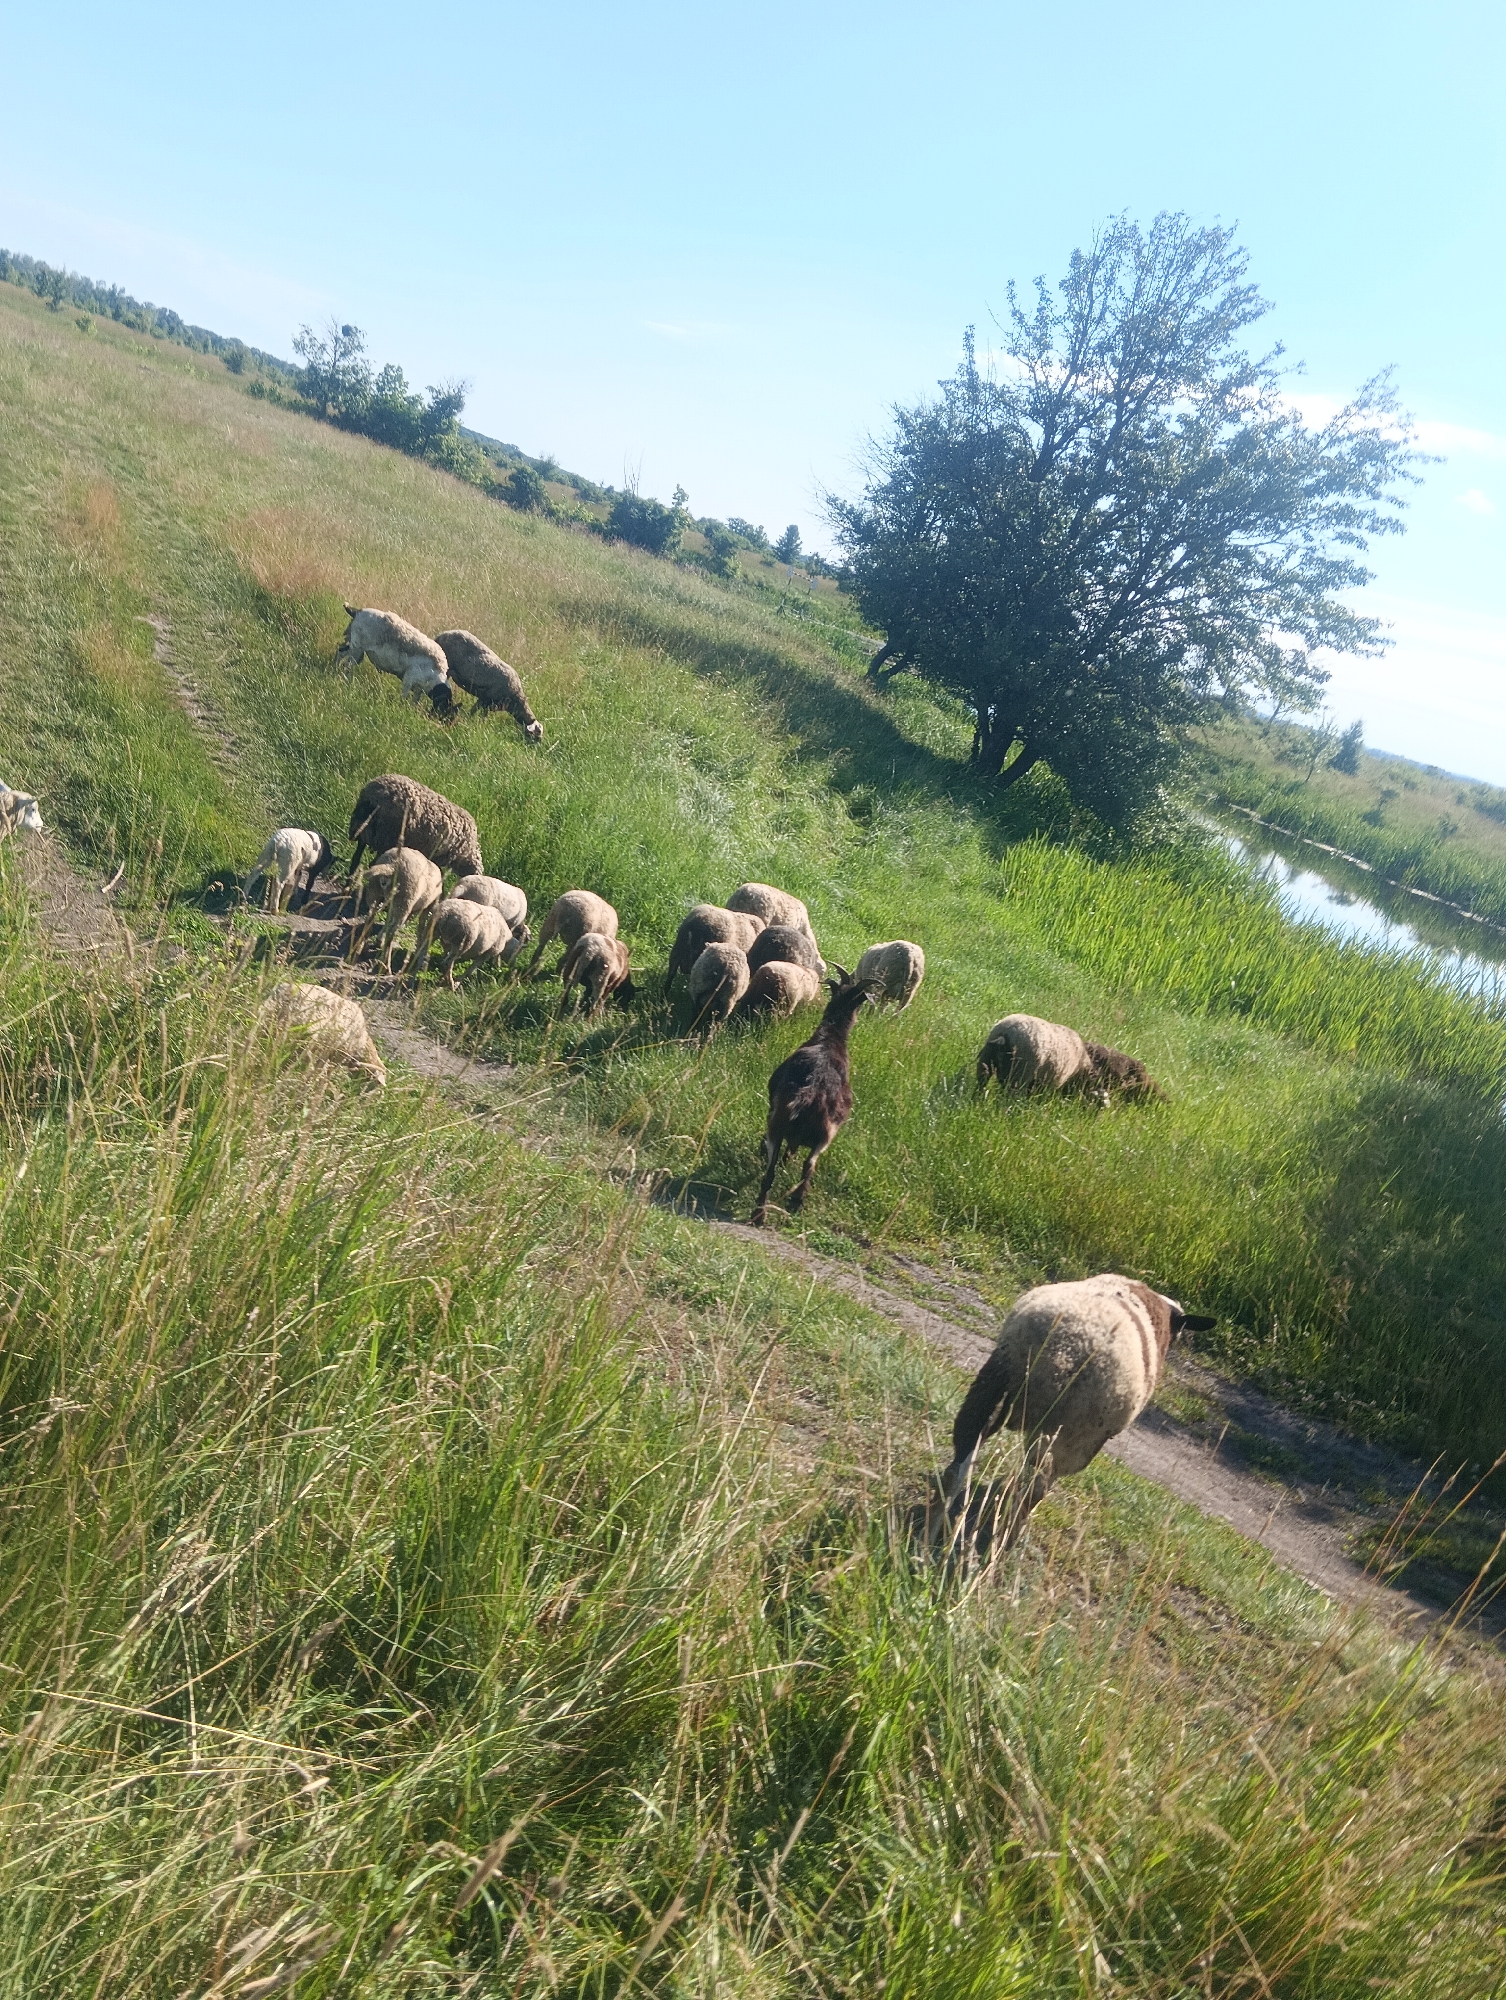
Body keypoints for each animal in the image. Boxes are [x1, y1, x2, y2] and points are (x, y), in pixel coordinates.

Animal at [347, 775, 483, 877]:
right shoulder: (437, 857)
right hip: (387, 837)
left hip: (363, 831)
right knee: (374, 865)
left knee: (355, 860)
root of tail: (373, 796)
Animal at [751, 975, 874, 1225]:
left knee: (774, 1170)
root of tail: (811, 1093)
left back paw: (762, 1213)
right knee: (808, 1166)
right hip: (825, 1133)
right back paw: (794, 1202)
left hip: (781, 1124)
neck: (830, 1037)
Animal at [940, 1275, 1215, 1544]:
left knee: (963, 1452)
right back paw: (1011, 1537)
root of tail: (1061, 1350)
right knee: (1036, 1487)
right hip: (1069, 1432)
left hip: (995, 1382)